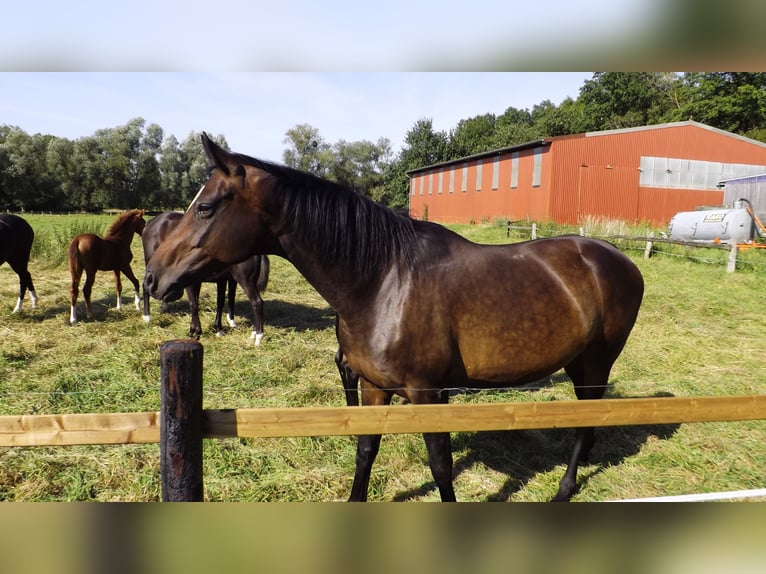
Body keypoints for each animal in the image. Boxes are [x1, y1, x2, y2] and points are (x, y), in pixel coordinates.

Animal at [142, 213, 272, 344]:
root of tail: (153, 221)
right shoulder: (219, 280)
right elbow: (207, 303)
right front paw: (211, 330)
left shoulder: (220, 280)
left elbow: (200, 303)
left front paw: (197, 331)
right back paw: (147, 316)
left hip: (246, 281)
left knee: (256, 302)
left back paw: (257, 336)